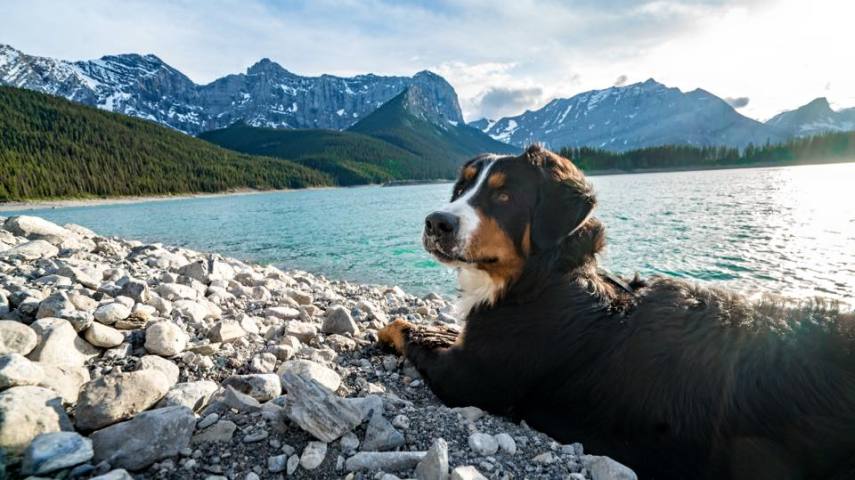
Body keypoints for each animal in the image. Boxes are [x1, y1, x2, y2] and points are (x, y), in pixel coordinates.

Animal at [378, 144, 855, 478]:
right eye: (461, 189)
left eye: (505, 196)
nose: (436, 222)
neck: (544, 280)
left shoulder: (471, 377)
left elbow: (408, 328)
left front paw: (387, 329)